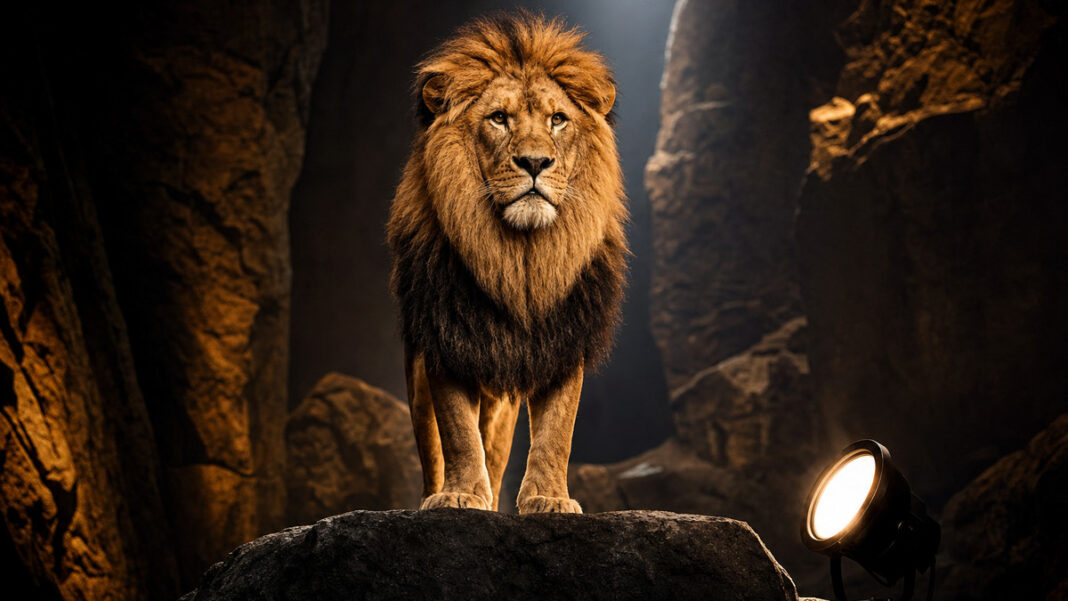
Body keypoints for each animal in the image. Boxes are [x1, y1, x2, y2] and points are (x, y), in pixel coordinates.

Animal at [387, 13, 627, 514]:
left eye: (558, 120)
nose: (535, 162)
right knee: (433, 445)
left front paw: (549, 498)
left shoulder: (565, 336)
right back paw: (436, 494)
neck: (520, 258)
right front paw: (458, 495)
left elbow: (557, 431)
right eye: (499, 118)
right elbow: (457, 431)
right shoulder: (446, 335)